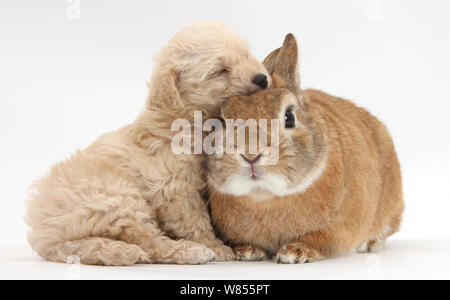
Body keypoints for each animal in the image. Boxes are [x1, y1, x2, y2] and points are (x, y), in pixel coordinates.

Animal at [26, 22, 268, 264]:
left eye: (246, 55)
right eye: (219, 71)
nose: (262, 79)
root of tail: (45, 238)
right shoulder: (175, 186)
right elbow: (194, 220)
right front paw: (215, 246)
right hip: (117, 197)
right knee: (149, 241)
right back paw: (192, 251)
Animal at [207, 34, 404, 264]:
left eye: (289, 117)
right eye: (221, 121)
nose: (251, 154)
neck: (265, 197)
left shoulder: (336, 229)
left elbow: (320, 239)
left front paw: (294, 252)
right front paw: (246, 252)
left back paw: (370, 243)